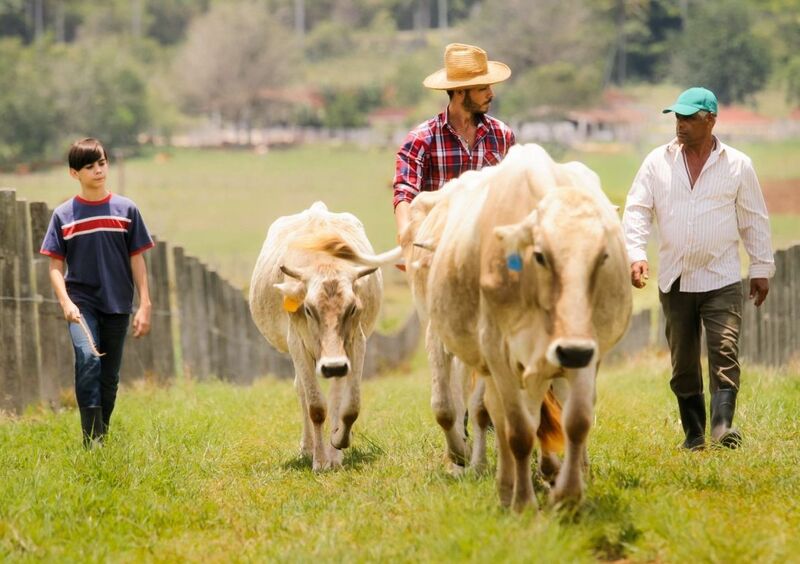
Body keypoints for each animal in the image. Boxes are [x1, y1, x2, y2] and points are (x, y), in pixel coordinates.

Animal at [250, 203, 396, 472]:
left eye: (352, 308)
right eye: (308, 309)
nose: (334, 365)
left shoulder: (356, 344)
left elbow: (349, 406)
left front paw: (338, 446)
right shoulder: (297, 344)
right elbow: (315, 407)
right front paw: (318, 461)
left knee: (336, 399)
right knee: (302, 392)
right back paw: (308, 448)